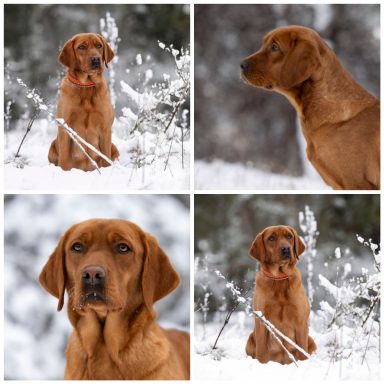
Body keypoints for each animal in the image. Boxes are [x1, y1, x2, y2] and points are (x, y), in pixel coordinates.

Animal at [48, 33, 119, 172]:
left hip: (114, 148)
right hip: (52, 147)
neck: (86, 86)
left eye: (99, 45)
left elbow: (106, 159)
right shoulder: (65, 127)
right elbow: (64, 160)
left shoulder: (105, 128)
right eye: (81, 47)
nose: (96, 59)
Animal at [246, 226, 316, 364]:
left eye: (289, 236)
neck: (279, 279)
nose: (286, 249)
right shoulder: (262, 321)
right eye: (271, 238)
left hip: (311, 340)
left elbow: (302, 351)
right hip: (250, 339)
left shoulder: (301, 321)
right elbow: (261, 353)